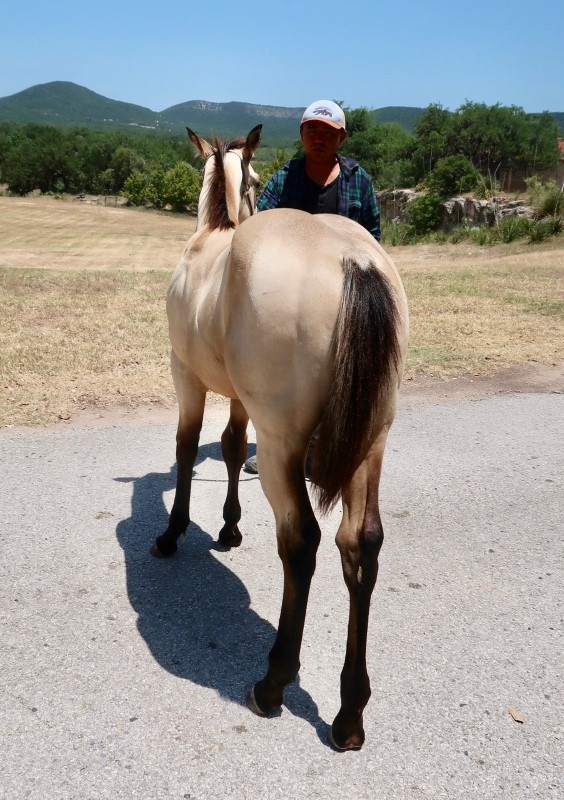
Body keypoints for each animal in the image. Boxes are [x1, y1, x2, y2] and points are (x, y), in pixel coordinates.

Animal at [151, 125, 410, 752]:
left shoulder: (185, 375)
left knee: (302, 542)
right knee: (360, 546)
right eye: (252, 176)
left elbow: (187, 445)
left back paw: (274, 681)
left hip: (283, 446)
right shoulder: (240, 402)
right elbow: (229, 446)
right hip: (372, 444)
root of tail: (354, 261)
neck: (212, 241)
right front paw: (228, 526)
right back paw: (349, 711)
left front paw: (173, 532)